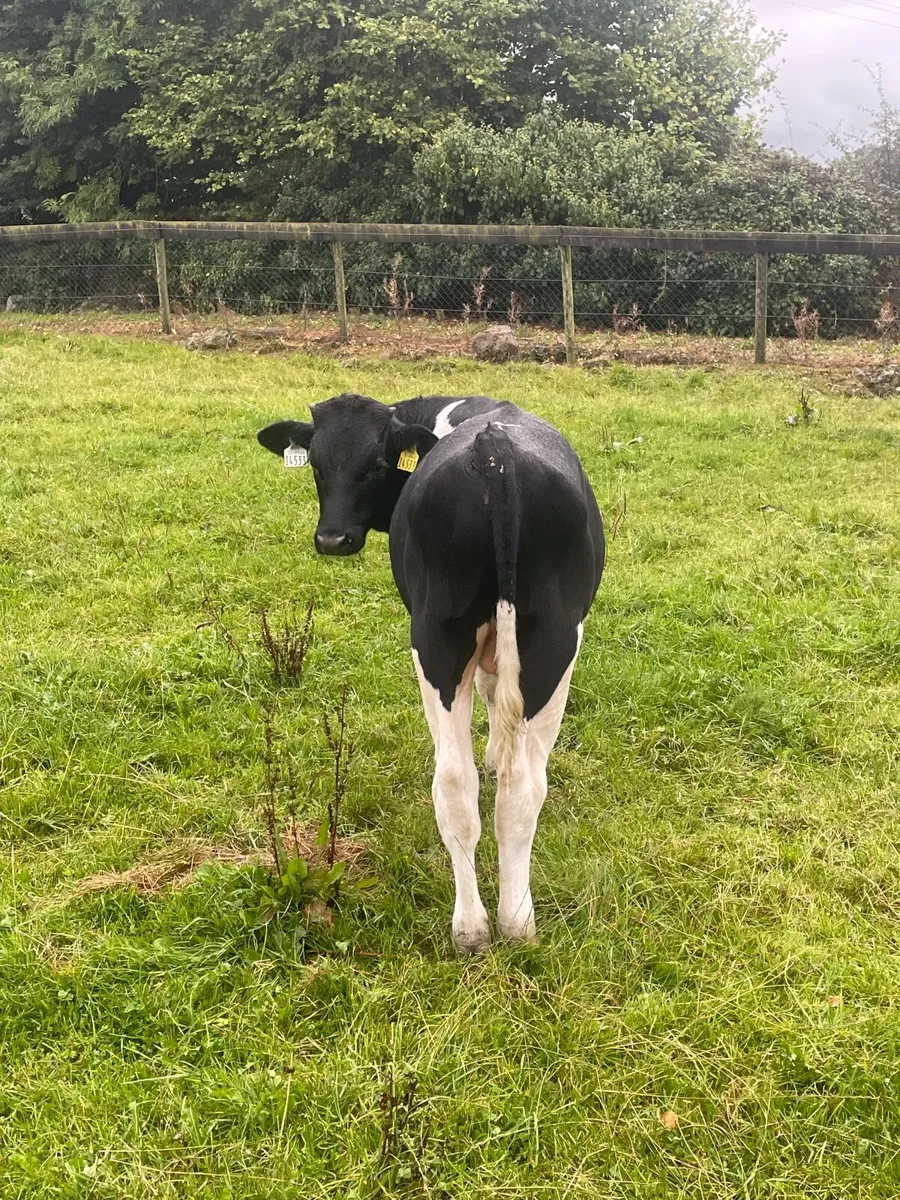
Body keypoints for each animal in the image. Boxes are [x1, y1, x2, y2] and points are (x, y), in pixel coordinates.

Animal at [258, 393, 604, 952]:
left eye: (375, 465)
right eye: (316, 464)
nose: (332, 539)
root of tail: (493, 448)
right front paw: (496, 752)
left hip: (445, 642)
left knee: (463, 785)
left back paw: (479, 927)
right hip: (546, 642)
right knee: (509, 790)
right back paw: (508, 922)